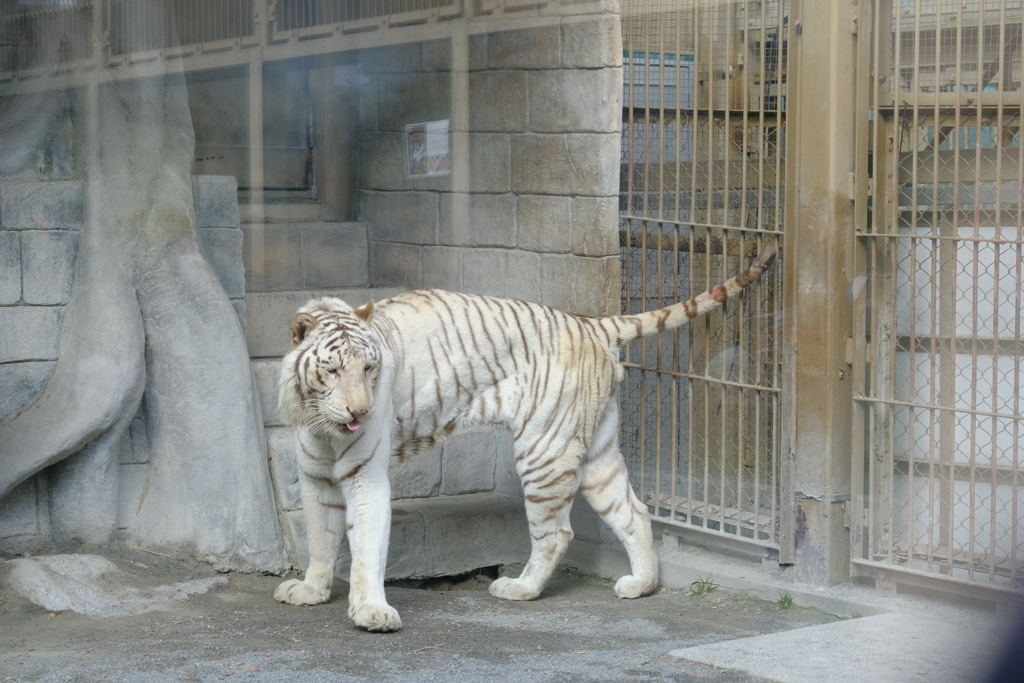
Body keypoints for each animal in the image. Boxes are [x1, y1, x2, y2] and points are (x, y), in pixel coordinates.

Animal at [274, 244, 774, 630]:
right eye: (333, 370)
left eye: (370, 369)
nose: (360, 411)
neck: (319, 419)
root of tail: (590, 323)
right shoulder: (316, 476)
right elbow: (321, 538)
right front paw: (312, 590)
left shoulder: (365, 476)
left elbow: (365, 546)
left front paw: (372, 613)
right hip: (597, 449)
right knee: (634, 511)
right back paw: (641, 585)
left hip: (545, 450)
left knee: (556, 533)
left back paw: (520, 588)